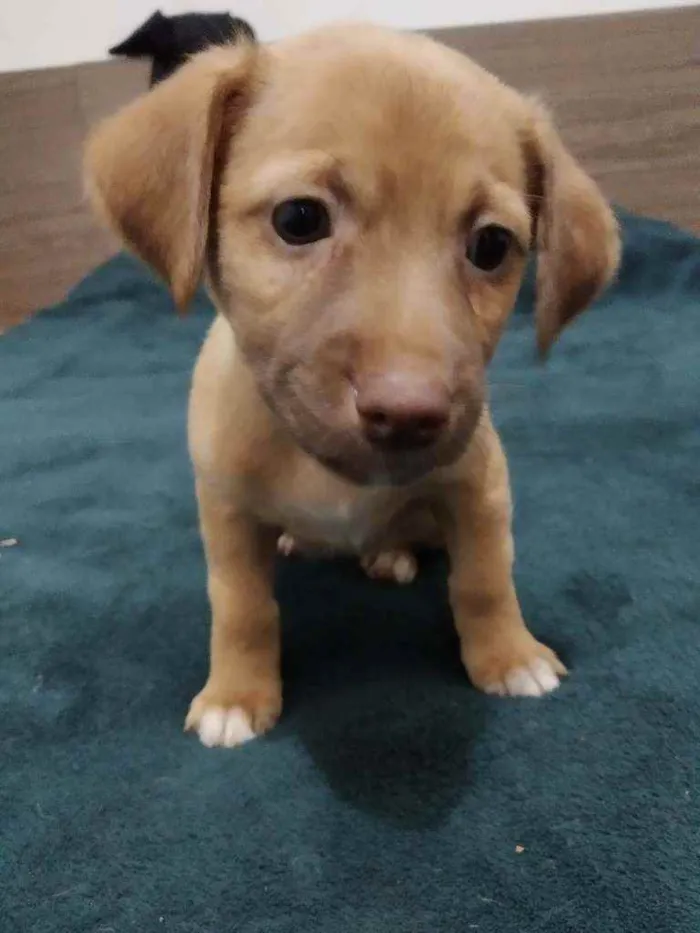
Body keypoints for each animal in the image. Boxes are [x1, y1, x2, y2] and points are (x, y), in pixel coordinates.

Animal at [86, 21, 616, 748]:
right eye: (299, 218)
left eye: (491, 246)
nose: (410, 413)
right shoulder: (225, 510)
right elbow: (242, 607)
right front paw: (236, 695)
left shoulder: (480, 486)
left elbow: (484, 579)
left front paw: (510, 656)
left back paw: (390, 554)